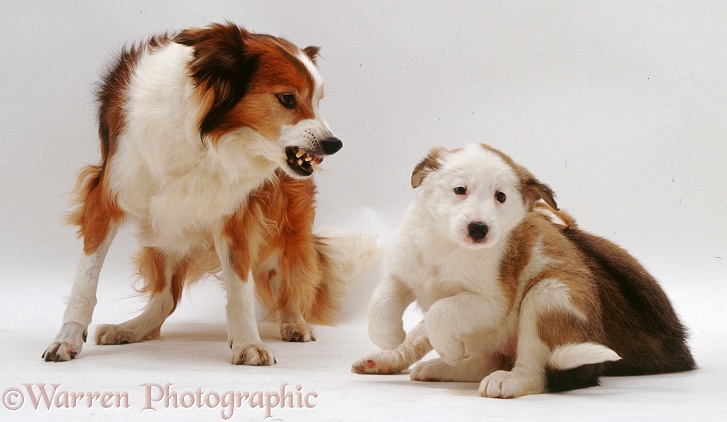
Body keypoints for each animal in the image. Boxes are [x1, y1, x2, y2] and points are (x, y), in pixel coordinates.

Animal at [42, 23, 378, 364]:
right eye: (287, 98)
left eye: (318, 101)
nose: (334, 144)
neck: (204, 137)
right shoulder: (105, 196)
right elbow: (86, 281)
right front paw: (67, 339)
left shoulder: (237, 213)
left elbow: (239, 288)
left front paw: (248, 343)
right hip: (164, 227)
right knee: (166, 298)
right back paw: (132, 329)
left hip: (285, 224)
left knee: (291, 275)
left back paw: (294, 322)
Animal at [356, 144, 696, 396]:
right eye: (460, 190)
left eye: (501, 197)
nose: (479, 229)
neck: (445, 245)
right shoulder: (404, 272)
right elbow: (380, 305)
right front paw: (391, 338)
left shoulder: (490, 302)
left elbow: (440, 312)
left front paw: (449, 349)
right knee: (479, 362)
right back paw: (418, 364)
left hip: (547, 295)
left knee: (533, 372)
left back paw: (505, 379)